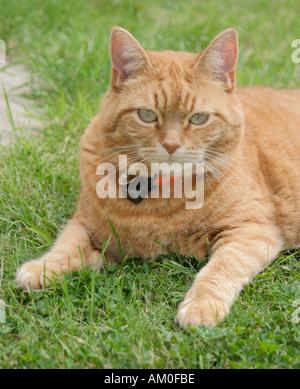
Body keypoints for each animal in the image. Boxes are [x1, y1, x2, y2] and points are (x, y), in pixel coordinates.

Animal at [15, 26, 300, 328]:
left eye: (198, 118)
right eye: (147, 114)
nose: (172, 145)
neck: (158, 201)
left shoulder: (251, 231)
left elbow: (222, 267)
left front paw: (202, 305)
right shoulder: (85, 224)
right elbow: (66, 246)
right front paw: (42, 269)